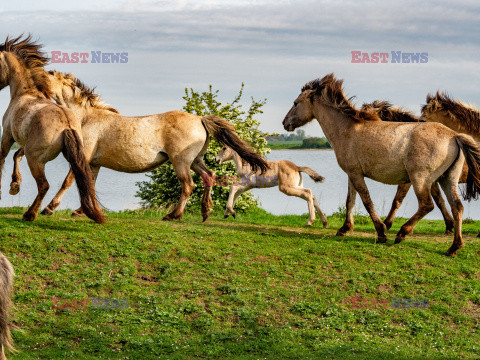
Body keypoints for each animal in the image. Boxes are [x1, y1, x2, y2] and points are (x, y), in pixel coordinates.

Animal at [0, 35, 103, 224]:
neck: (25, 93)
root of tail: (66, 125)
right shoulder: (25, 143)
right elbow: (16, 155)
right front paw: (14, 186)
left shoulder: (8, 136)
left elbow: (3, 158)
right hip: (71, 156)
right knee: (75, 180)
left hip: (35, 159)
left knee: (44, 185)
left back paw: (30, 214)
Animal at [8, 69, 266, 222]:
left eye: (49, 73)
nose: (31, 83)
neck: (85, 118)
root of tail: (200, 119)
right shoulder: (93, 163)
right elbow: (89, 183)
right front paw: (81, 211)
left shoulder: (81, 157)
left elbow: (68, 182)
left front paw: (49, 209)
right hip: (195, 160)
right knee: (209, 177)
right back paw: (205, 212)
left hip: (181, 162)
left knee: (188, 186)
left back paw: (173, 215)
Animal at [284, 73, 480, 255]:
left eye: (295, 103)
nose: (284, 123)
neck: (346, 130)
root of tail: (454, 136)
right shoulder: (352, 174)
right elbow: (350, 201)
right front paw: (344, 229)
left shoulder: (356, 174)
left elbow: (367, 201)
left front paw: (381, 232)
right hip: (447, 179)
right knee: (457, 207)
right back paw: (453, 247)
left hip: (420, 180)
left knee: (427, 205)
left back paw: (402, 234)